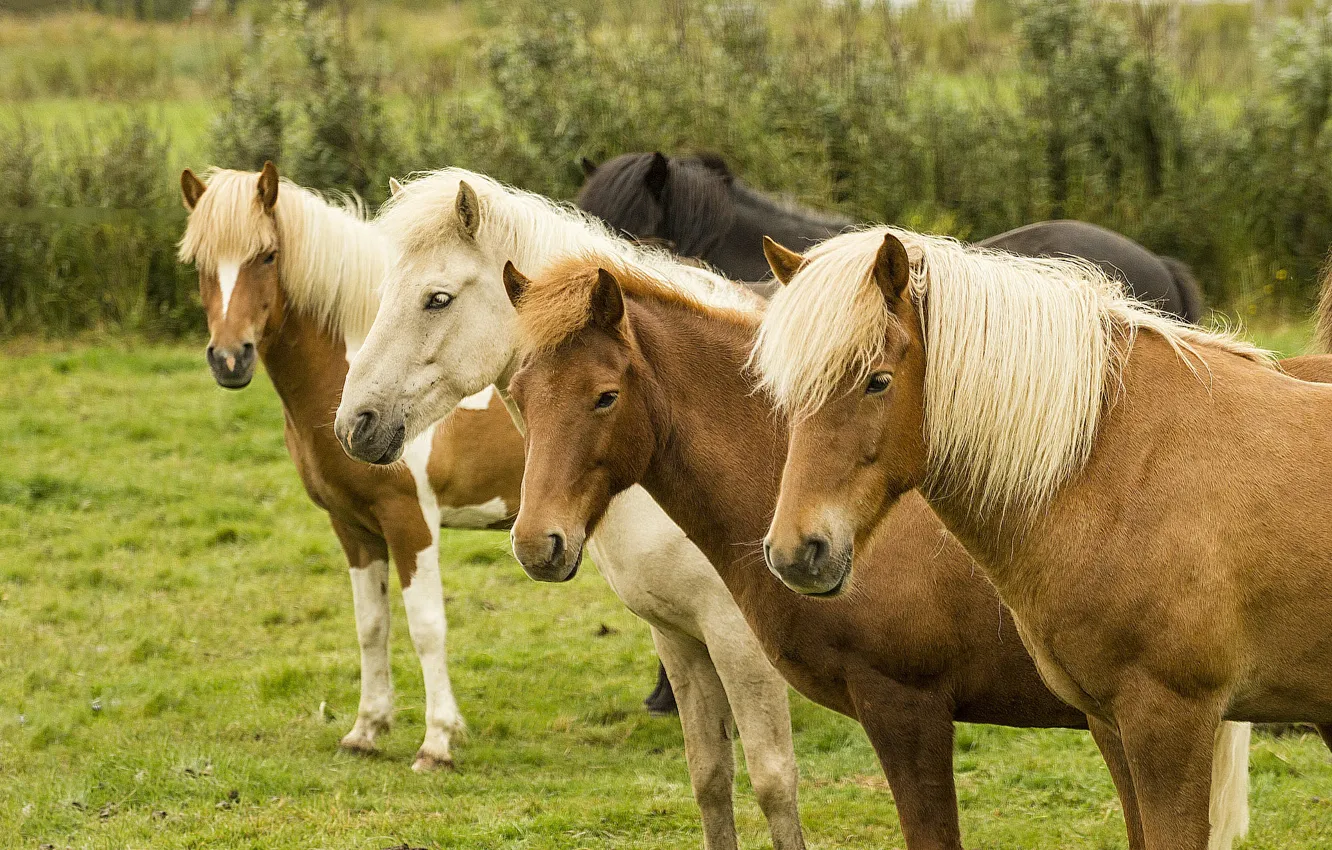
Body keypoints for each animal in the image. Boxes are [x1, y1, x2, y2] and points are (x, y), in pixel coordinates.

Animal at [177, 163, 525, 772]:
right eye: (200, 262)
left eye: (267, 255)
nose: (229, 359)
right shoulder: (352, 525)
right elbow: (372, 625)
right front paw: (367, 728)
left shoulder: (410, 522)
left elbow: (426, 627)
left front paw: (438, 741)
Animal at [333, 168, 806, 850]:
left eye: (437, 299)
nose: (355, 425)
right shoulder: (678, 635)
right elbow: (711, 780)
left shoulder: (737, 640)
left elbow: (773, 782)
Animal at [752, 227, 1332, 850]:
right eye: (787, 392)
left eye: (877, 381)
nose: (795, 552)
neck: (1117, 468)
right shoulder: (1111, 724)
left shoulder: (1171, 724)